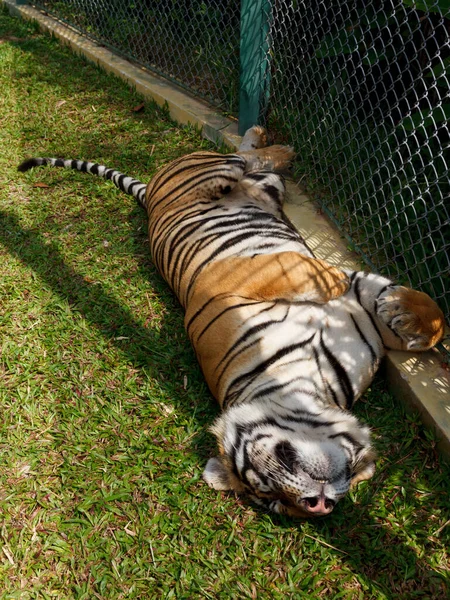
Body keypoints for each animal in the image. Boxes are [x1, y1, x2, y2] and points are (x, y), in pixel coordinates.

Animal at [18, 125, 446, 516]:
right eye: (270, 498)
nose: (316, 506)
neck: (311, 385)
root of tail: (152, 189)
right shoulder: (221, 284)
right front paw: (347, 284)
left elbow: (429, 317)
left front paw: (404, 314)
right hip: (239, 179)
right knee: (248, 161)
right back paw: (275, 146)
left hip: (223, 173)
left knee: (241, 156)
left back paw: (269, 143)